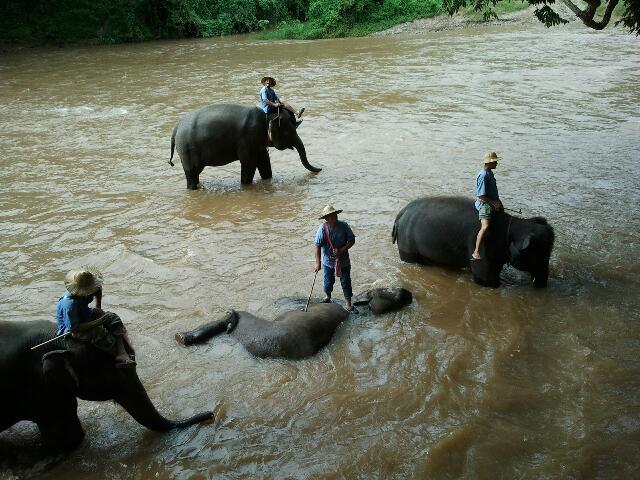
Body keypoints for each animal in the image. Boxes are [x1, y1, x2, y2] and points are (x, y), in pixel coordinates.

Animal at [169, 103, 322, 189]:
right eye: (287, 132)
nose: (321, 169)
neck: (267, 115)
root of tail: (176, 128)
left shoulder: (258, 143)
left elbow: (264, 163)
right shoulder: (248, 139)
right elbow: (249, 163)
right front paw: (246, 186)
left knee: (195, 173)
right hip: (187, 149)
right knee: (191, 173)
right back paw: (193, 188)